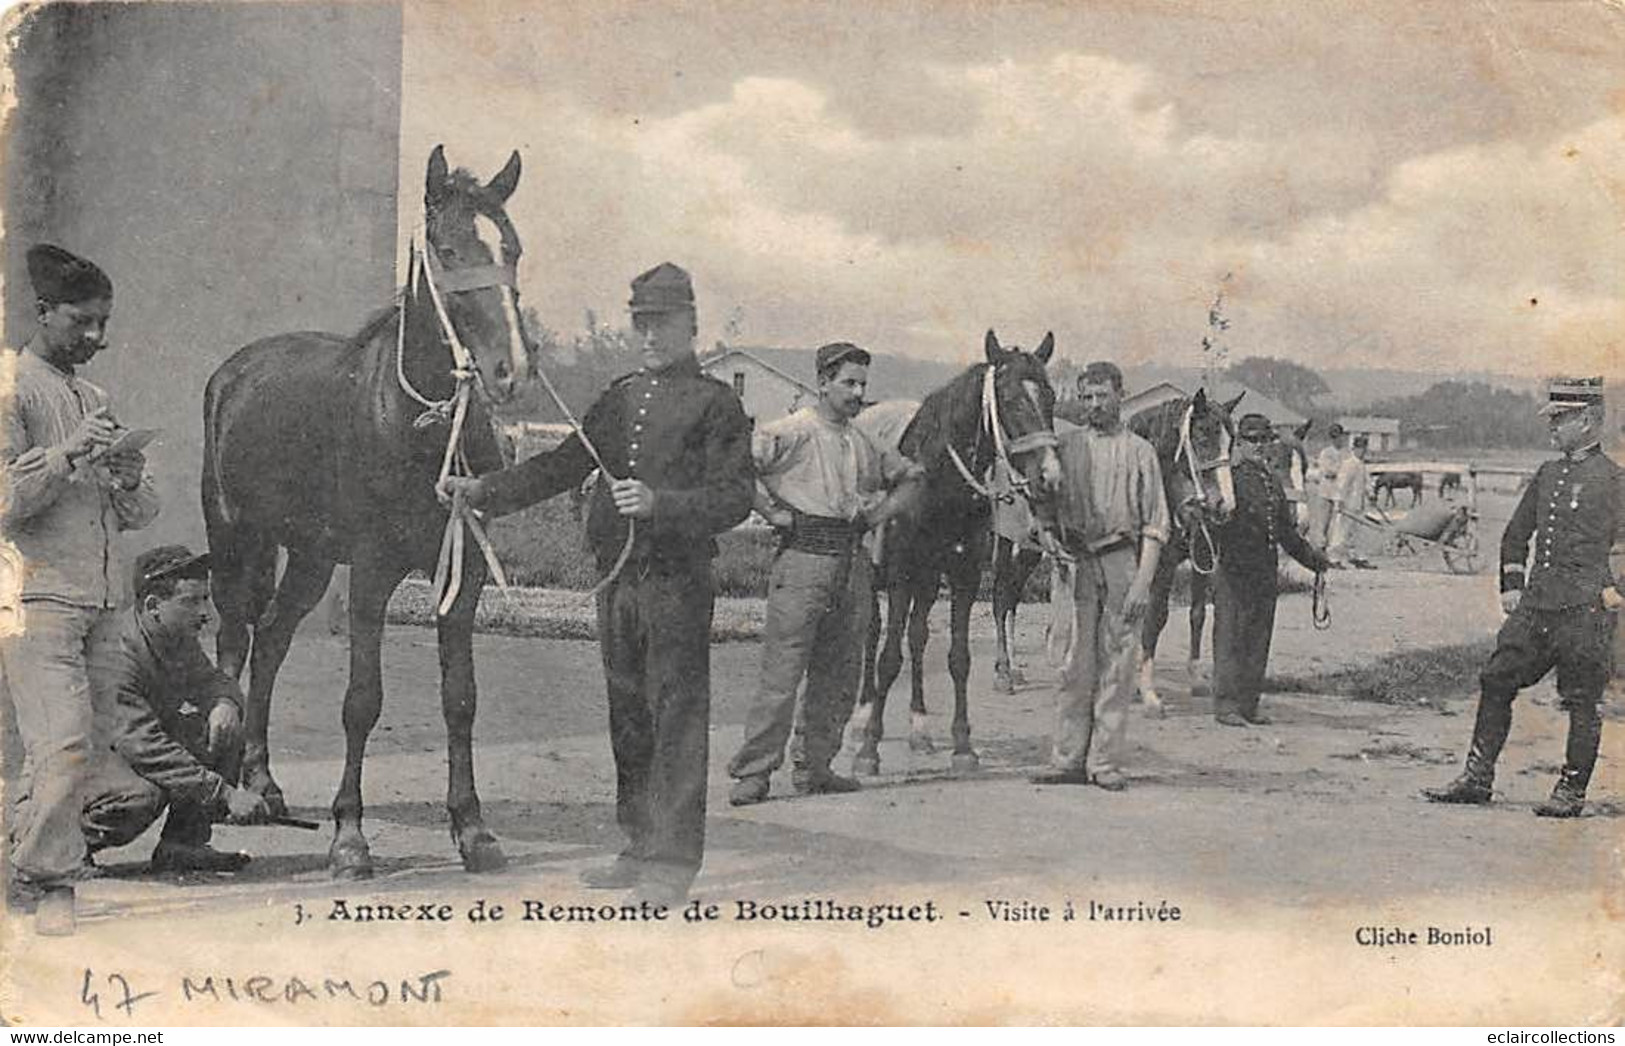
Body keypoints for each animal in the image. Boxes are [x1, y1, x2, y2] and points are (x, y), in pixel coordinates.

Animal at [202, 145, 533, 877]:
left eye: (513, 249)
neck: (418, 422)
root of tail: (235, 371)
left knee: (273, 639)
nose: (511, 372)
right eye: (446, 249)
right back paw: (235, 788)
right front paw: (349, 837)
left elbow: (460, 699)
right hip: (238, 539)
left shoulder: (461, 575)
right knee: (236, 640)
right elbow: (361, 702)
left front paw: (473, 831)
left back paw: (264, 780)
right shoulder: (373, 573)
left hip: (311, 557)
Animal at [851, 331, 1066, 773]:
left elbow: (958, 657)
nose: (1049, 476)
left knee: (917, 636)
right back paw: (862, 716)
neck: (938, 481)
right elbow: (888, 657)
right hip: (873, 571)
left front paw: (963, 745)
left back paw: (919, 728)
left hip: (929, 577)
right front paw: (869, 748)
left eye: (1050, 396)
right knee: (873, 632)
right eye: (1010, 397)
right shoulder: (899, 574)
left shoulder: (963, 575)